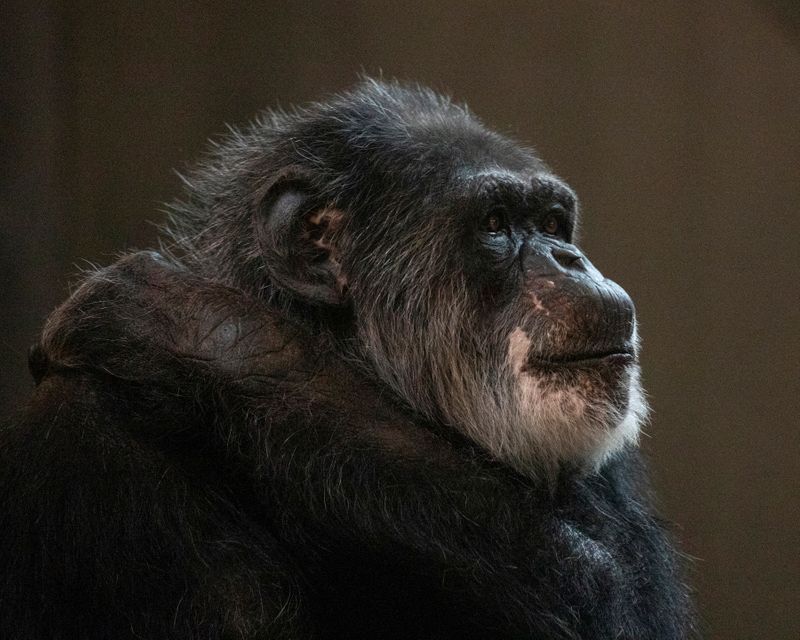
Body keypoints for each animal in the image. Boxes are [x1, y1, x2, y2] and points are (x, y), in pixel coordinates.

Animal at [0, 80, 693, 639]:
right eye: (496, 222)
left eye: (551, 223)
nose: (568, 259)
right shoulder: (90, 446)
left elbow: (621, 599)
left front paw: (193, 329)